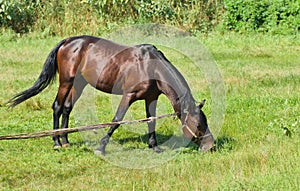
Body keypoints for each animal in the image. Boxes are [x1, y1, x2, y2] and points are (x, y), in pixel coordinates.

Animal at [8, 35, 214, 155]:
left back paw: (65, 141)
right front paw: (101, 148)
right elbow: (117, 120)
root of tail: (67, 42)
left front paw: (154, 146)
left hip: (79, 84)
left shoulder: (151, 98)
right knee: (57, 107)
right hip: (66, 82)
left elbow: (151, 121)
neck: (150, 67)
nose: (210, 145)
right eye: (198, 124)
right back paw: (57, 142)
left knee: (67, 108)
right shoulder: (128, 96)